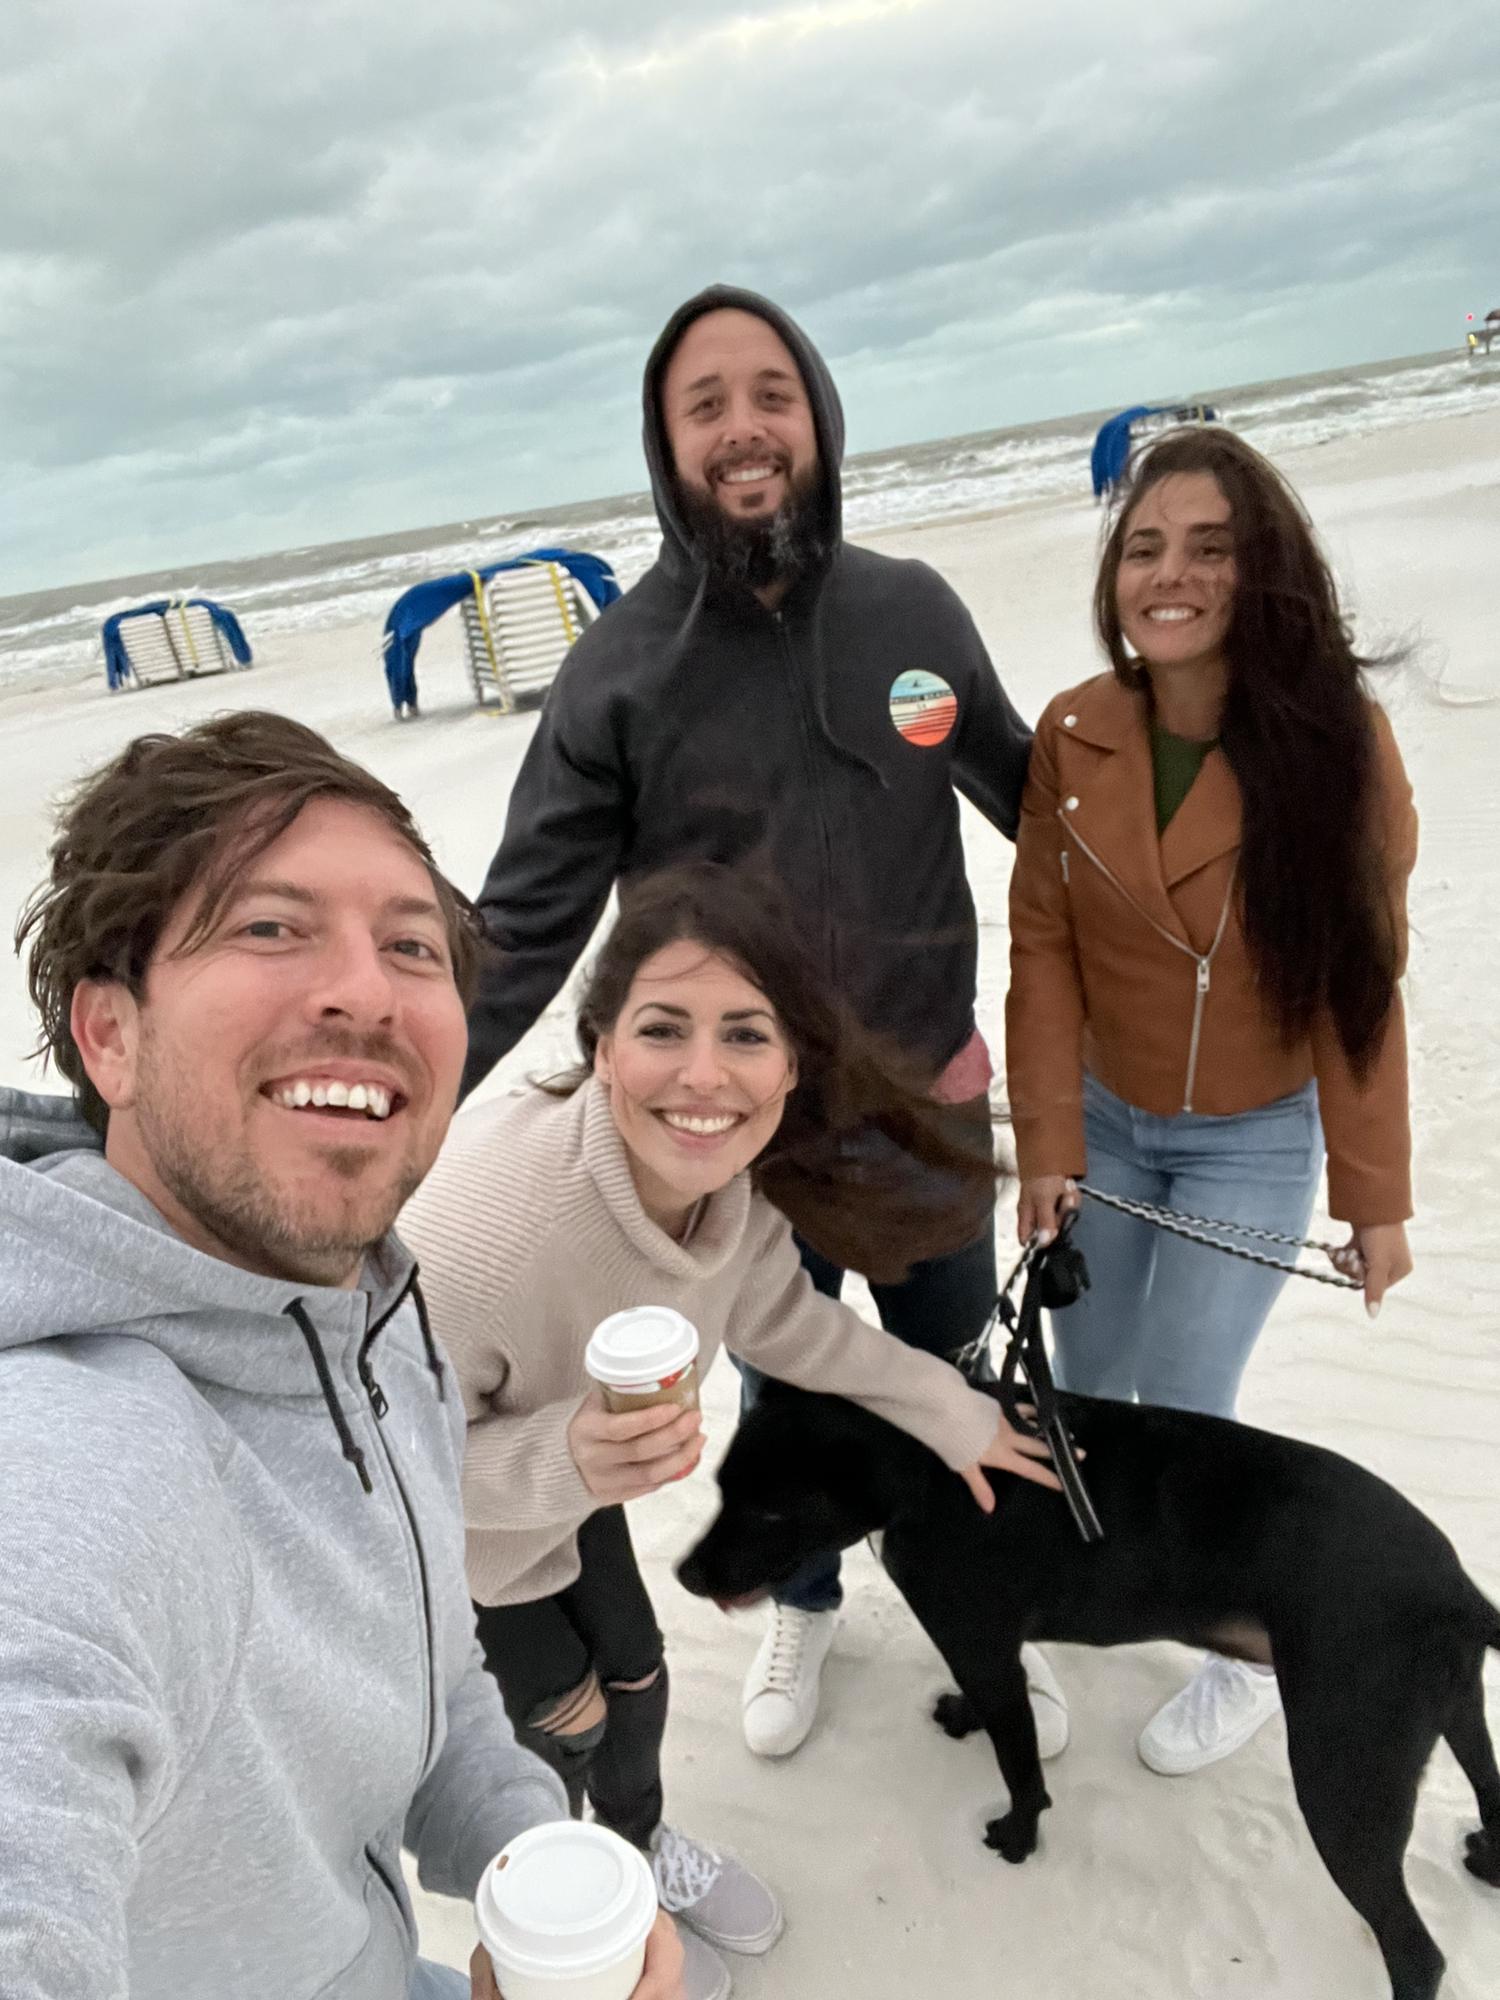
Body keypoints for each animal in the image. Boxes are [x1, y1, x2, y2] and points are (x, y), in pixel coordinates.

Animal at [677, 1380, 1500, 2000]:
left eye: (773, 1508)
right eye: (720, 1489)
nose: (685, 1575)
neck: (930, 1467)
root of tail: (1455, 1588)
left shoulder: (980, 1644)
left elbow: (1020, 1764)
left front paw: (1018, 1836)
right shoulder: (987, 1650)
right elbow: (993, 1715)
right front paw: (964, 1719)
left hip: (1343, 1780)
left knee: (1417, 1953)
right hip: (1452, 1715)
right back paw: (1489, 1858)